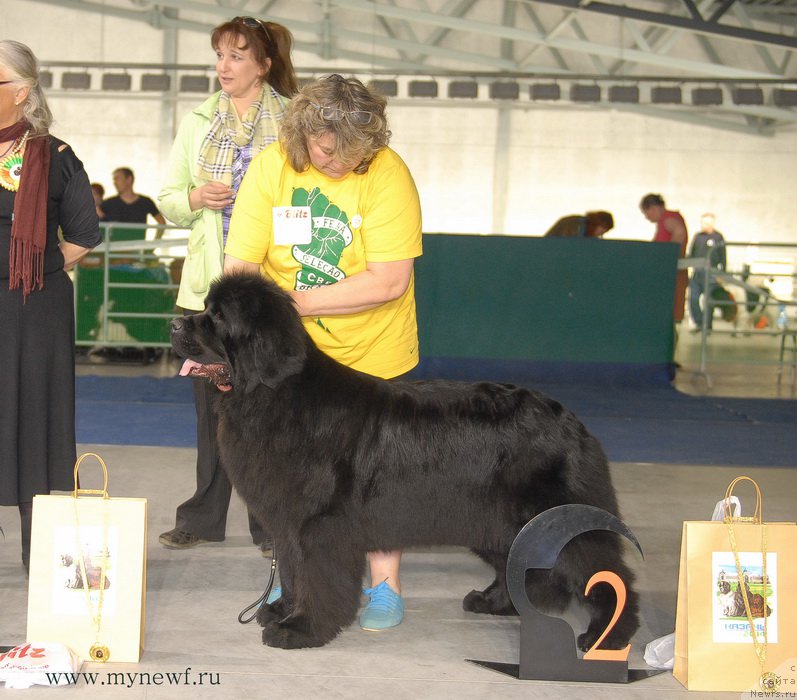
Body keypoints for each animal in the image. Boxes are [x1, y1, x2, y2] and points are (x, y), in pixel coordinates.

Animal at [171, 272, 636, 652]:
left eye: (217, 317)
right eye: (204, 308)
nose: (174, 323)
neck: (274, 395)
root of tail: (571, 419)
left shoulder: (319, 527)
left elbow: (315, 577)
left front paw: (301, 629)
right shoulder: (287, 522)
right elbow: (291, 569)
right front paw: (282, 608)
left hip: (555, 520)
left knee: (605, 572)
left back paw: (607, 637)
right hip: (494, 523)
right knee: (517, 564)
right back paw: (492, 602)